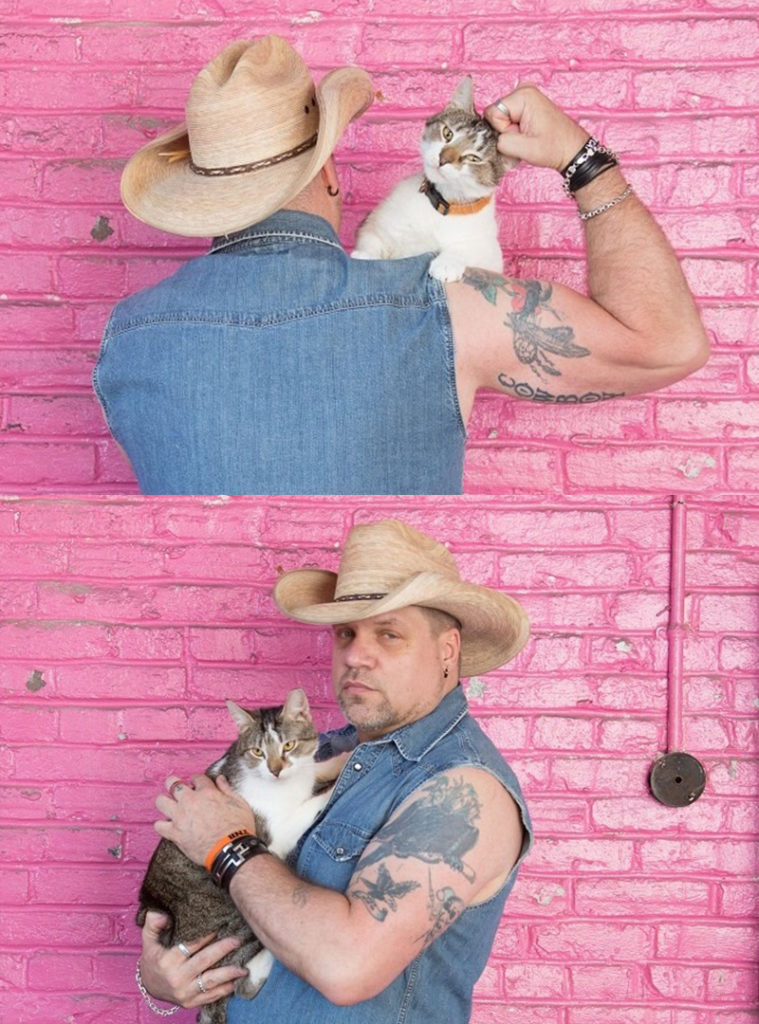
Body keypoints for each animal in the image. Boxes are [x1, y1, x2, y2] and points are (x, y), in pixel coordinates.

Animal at [137, 688, 344, 1024]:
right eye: (258, 752)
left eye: (288, 745)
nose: (276, 769)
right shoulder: (277, 836)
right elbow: (310, 804)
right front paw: (334, 784)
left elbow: (316, 768)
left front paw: (346, 757)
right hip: (236, 914)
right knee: (241, 981)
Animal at [350, 74, 514, 284]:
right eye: (447, 133)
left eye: (473, 158)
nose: (443, 159)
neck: (441, 205)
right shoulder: (378, 222)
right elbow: (373, 238)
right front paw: (365, 256)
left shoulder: (489, 251)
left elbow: (468, 249)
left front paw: (447, 263)